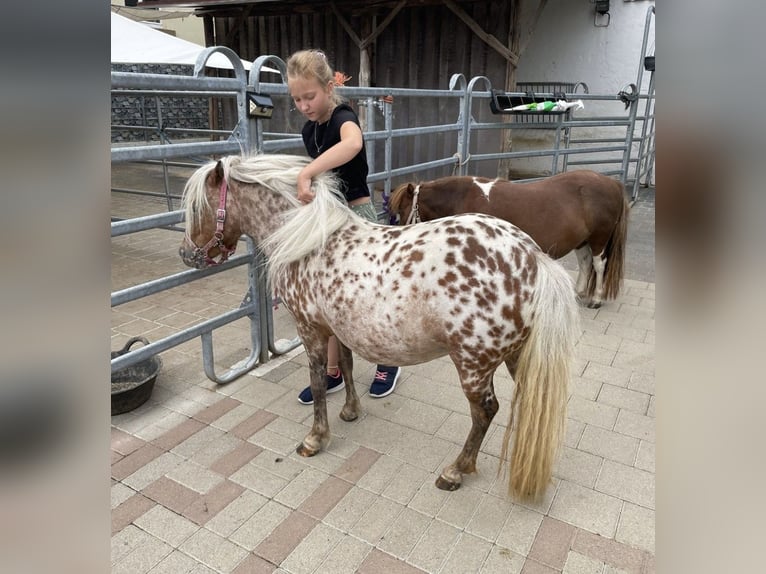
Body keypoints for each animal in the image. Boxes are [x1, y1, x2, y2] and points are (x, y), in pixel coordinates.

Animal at [390, 170, 632, 308]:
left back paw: (596, 299)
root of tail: (613, 183)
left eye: (402, 210)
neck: (463, 198)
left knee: (599, 265)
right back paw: (578, 293)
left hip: (599, 238)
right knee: (585, 263)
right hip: (583, 240)